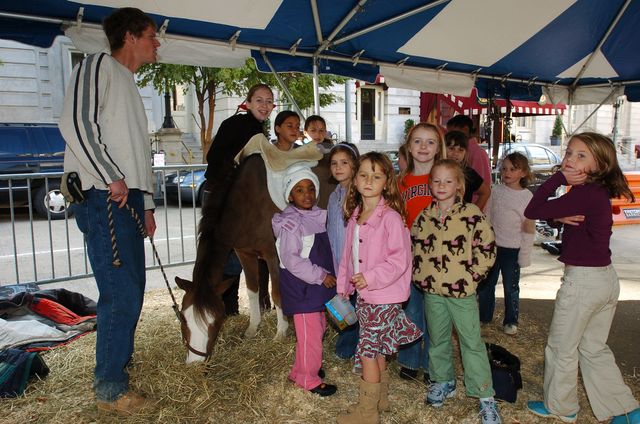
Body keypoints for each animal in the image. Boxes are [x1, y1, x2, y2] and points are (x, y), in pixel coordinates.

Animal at [175, 154, 336, 362]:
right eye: (183, 317)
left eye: (215, 320)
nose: (195, 362)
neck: (246, 203)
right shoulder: (244, 253)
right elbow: (252, 290)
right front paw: (253, 328)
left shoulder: (273, 255)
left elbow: (277, 293)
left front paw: (281, 332)